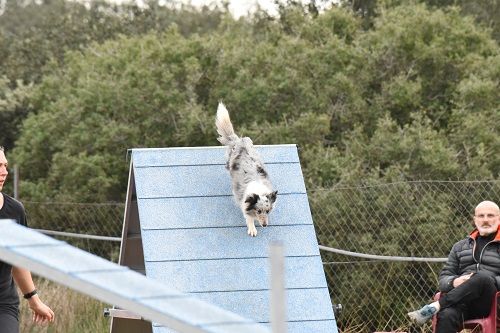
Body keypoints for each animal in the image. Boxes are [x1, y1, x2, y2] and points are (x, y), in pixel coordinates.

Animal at [215, 102, 278, 236]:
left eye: (267, 211)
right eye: (258, 211)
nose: (265, 225)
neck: (258, 190)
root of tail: (238, 140)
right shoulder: (243, 201)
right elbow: (248, 217)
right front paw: (252, 229)